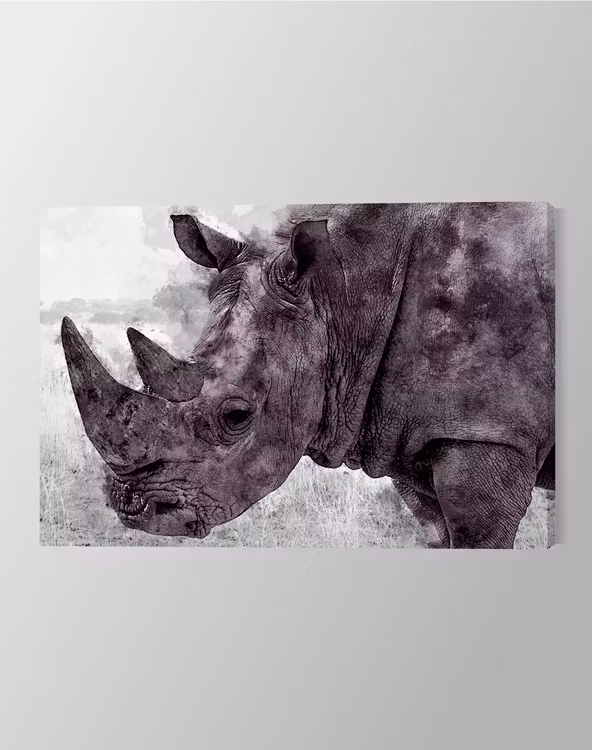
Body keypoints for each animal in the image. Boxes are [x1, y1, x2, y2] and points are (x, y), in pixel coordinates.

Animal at [61, 203, 555, 548]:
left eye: (237, 417)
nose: (132, 507)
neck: (342, 292)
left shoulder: (489, 431)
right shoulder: (414, 431)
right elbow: (438, 530)